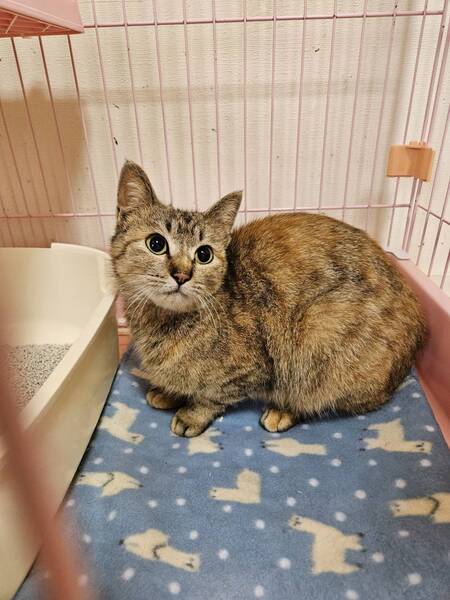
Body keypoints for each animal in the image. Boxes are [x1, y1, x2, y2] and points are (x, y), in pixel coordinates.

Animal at [111, 160, 426, 438]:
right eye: (156, 243)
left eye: (204, 254)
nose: (181, 274)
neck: (163, 323)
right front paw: (168, 392)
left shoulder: (252, 370)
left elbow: (212, 396)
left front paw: (191, 414)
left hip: (317, 333)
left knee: (321, 396)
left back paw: (283, 412)